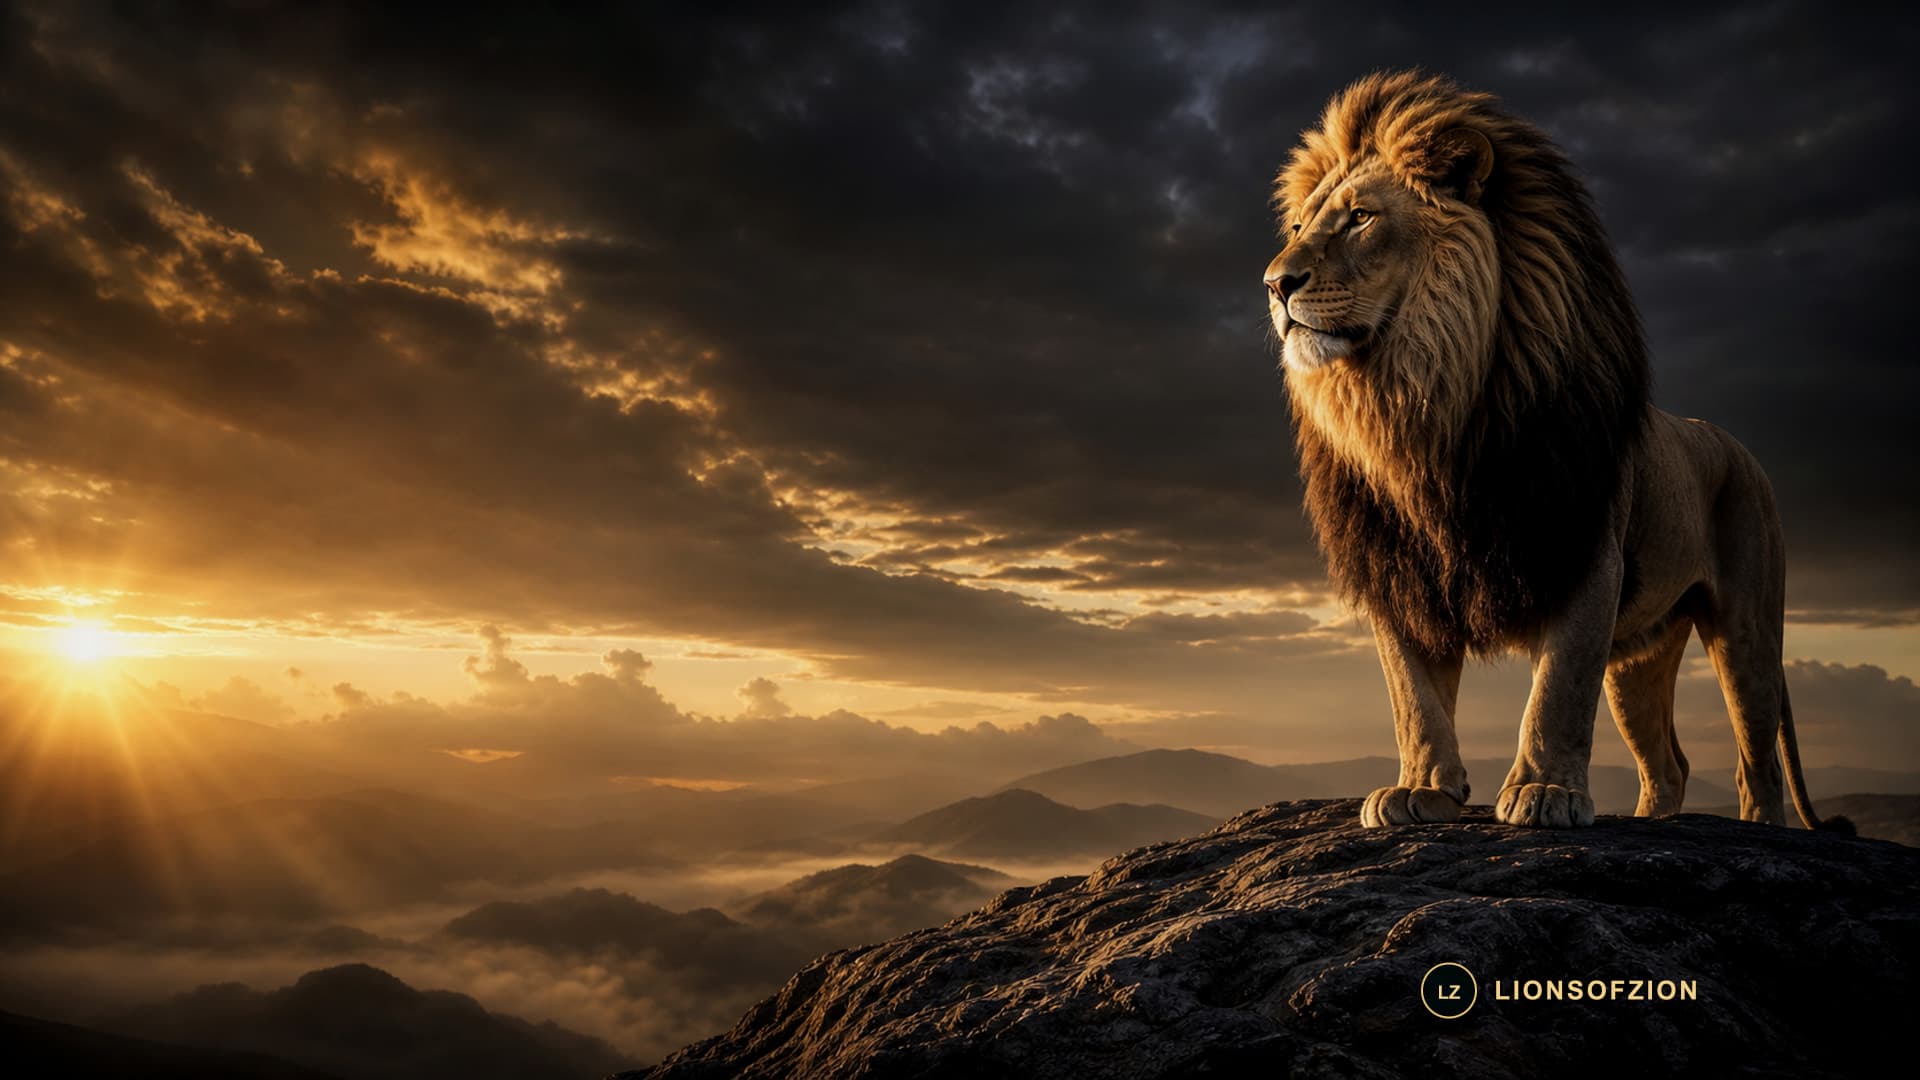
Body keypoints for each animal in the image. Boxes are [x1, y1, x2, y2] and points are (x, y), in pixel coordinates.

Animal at [1264, 70, 1848, 831]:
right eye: (1299, 228)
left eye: (1361, 217)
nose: (1275, 283)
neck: (1421, 410)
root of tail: (1736, 448)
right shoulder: (1397, 571)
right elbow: (1414, 698)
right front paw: (1422, 789)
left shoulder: (1583, 546)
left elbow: (1558, 687)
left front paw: (1545, 792)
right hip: (1641, 653)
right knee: (1670, 763)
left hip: (1746, 626)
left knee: (1758, 761)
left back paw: (1756, 831)